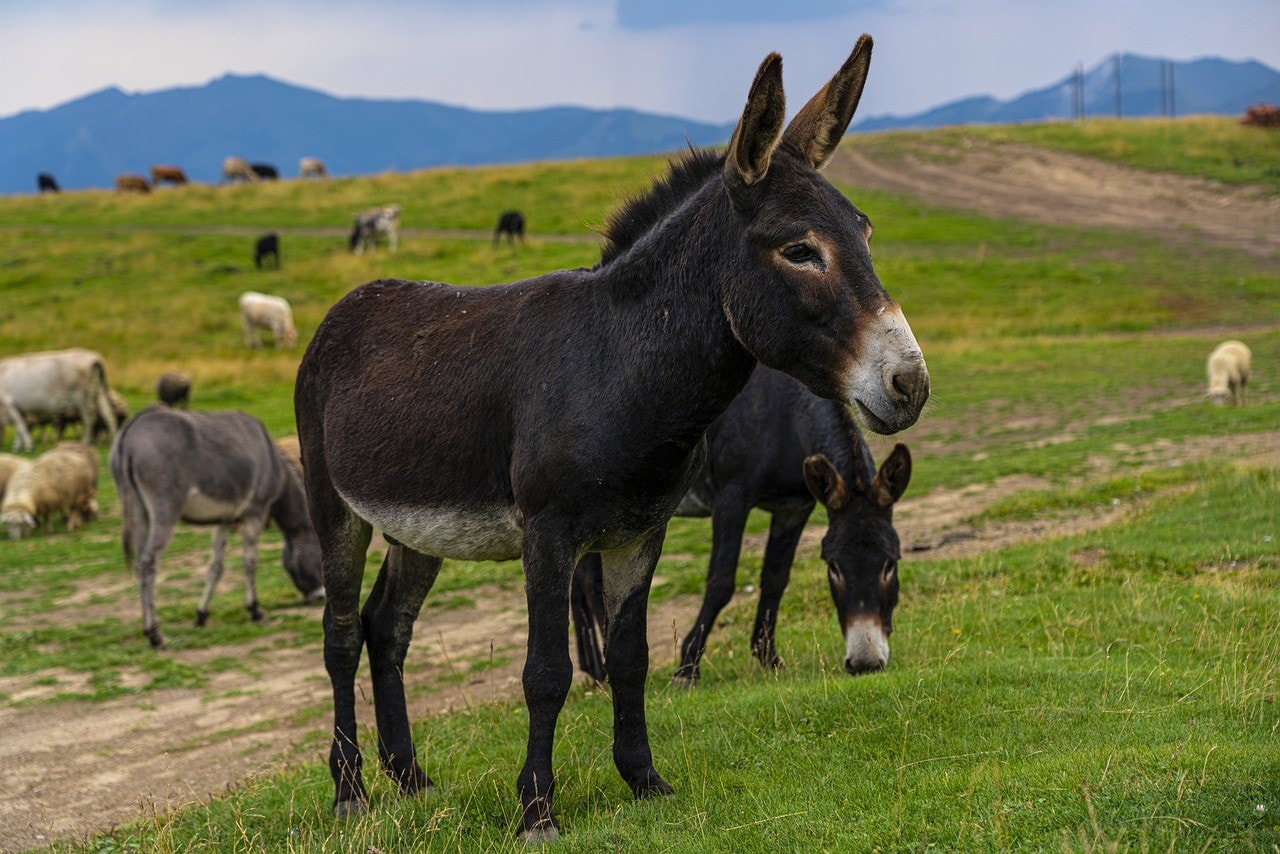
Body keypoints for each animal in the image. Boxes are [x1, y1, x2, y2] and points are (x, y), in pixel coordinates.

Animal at [110, 409, 327, 647]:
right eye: (322, 556)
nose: (320, 597)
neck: (273, 461)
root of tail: (132, 429)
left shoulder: (224, 519)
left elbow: (216, 568)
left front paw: (201, 616)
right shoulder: (256, 512)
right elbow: (250, 562)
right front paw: (255, 611)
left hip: (139, 513)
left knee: (140, 565)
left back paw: (147, 629)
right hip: (164, 511)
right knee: (148, 563)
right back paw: (155, 635)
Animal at [570, 363, 911, 686]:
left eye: (890, 564)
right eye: (834, 567)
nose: (866, 663)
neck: (786, 418)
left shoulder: (794, 508)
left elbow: (775, 579)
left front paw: (769, 658)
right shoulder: (731, 500)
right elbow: (721, 582)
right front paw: (687, 668)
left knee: (581, 580)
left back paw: (594, 670)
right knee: (590, 581)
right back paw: (604, 669)